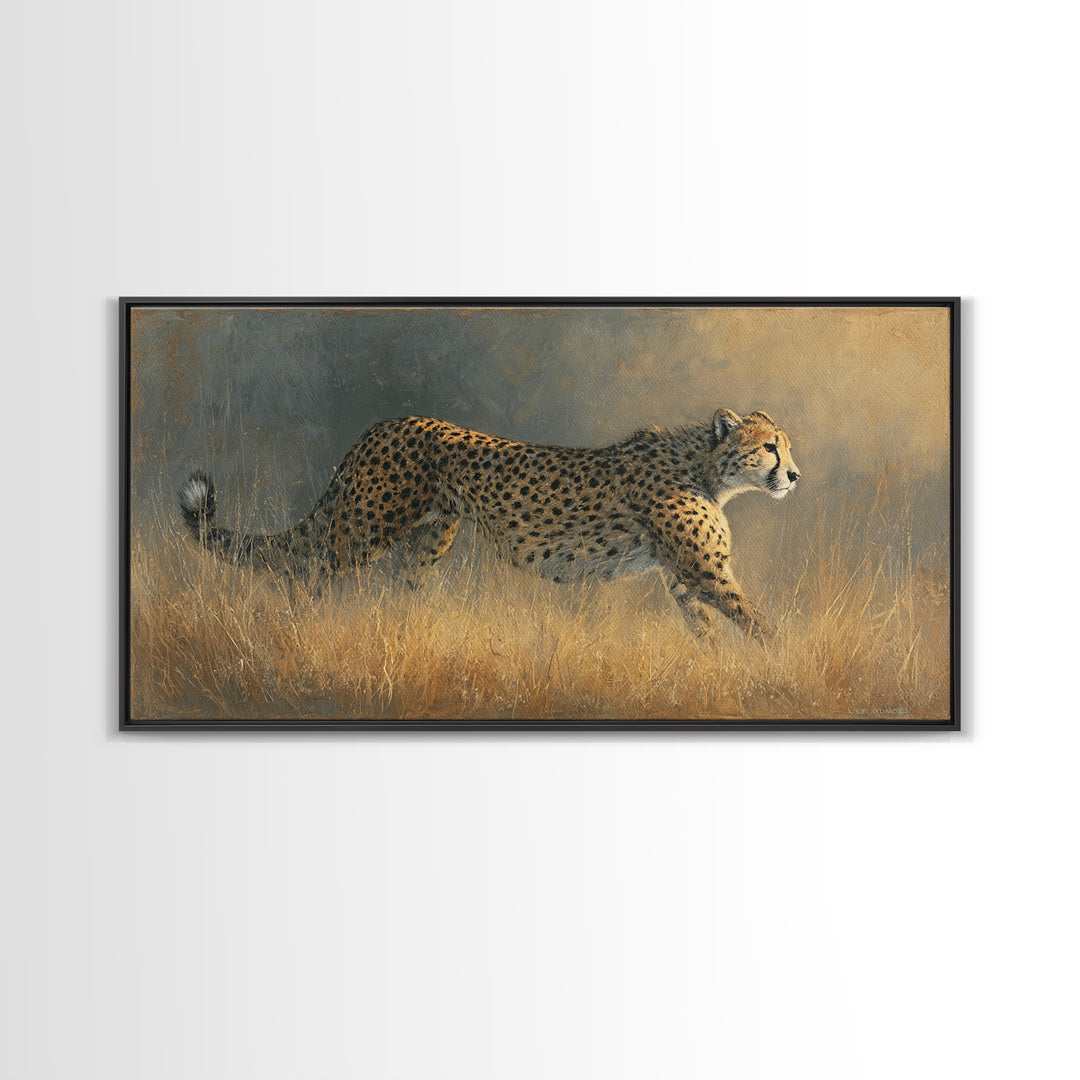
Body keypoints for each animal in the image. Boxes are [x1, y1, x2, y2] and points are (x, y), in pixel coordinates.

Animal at [178, 408, 800, 640]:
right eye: (771, 446)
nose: (794, 476)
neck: (705, 466)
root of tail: (386, 422)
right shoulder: (705, 571)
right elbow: (758, 623)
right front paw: (783, 666)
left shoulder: (683, 576)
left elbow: (707, 630)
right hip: (360, 531)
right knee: (303, 573)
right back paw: (295, 632)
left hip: (428, 541)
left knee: (399, 590)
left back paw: (410, 635)